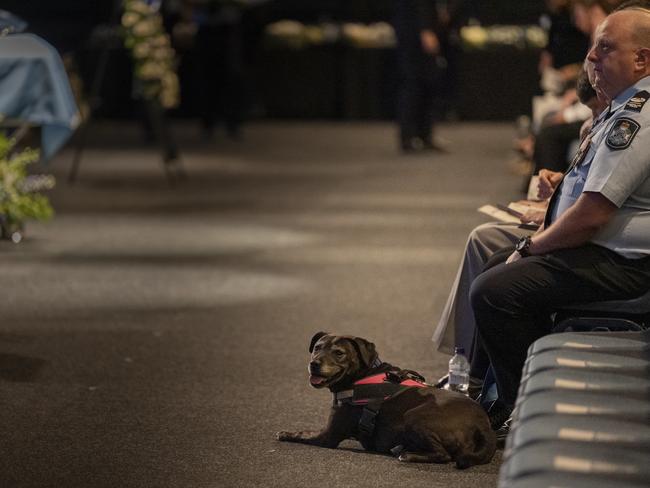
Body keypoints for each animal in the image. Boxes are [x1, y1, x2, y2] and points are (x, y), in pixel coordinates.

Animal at [276, 332, 494, 468]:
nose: (314, 364)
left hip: (414, 416)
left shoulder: (328, 435)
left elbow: (303, 433)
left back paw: (408, 454)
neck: (360, 375)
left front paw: (286, 433)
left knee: (444, 454)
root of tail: (483, 424)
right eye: (317, 348)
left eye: (339, 353)